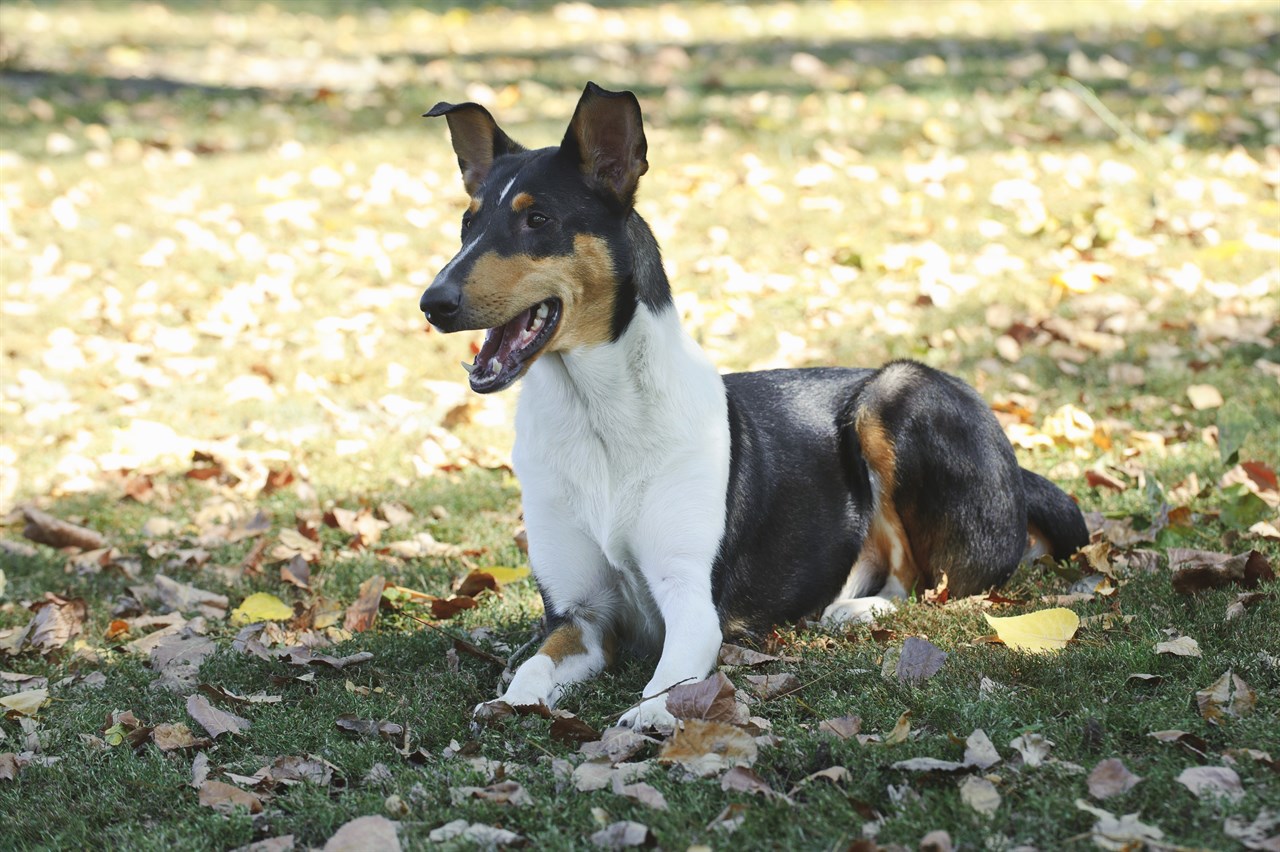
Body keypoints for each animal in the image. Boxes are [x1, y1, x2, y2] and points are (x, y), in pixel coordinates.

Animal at [422, 81, 1090, 731]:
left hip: (894, 395)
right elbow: (533, 666)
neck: (596, 419)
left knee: (935, 582)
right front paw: (511, 702)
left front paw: (648, 715)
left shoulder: (691, 600)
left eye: (537, 219)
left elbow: (667, 681)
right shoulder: (579, 615)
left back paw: (859, 610)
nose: (432, 303)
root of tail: (1018, 469)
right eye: (466, 225)